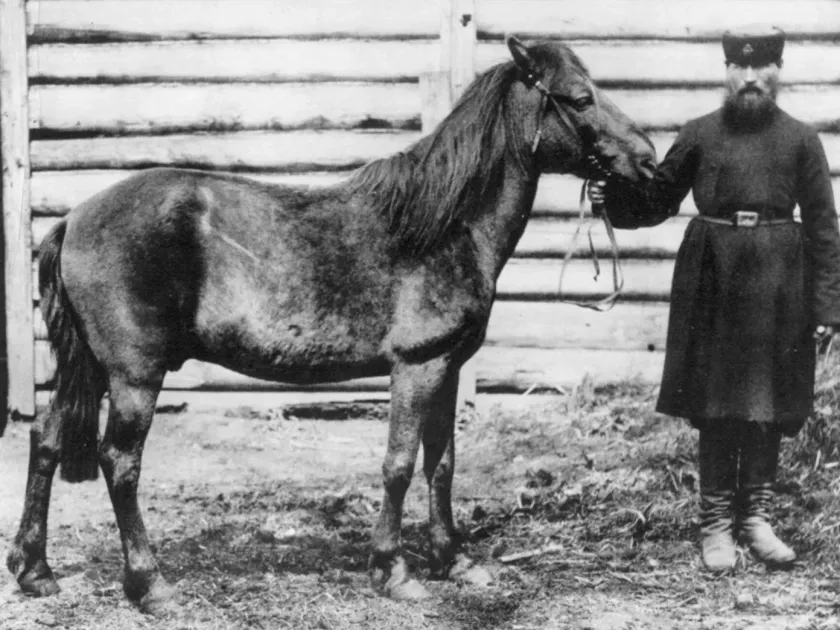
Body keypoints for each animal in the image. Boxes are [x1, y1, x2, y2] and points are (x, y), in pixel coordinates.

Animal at [7, 37, 656, 614]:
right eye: (579, 98)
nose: (648, 159)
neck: (443, 229)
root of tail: (73, 219)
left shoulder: (446, 369)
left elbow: (441, 463)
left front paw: (453, 560)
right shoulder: (417, 367)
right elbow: (399, 465)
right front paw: (394, 571)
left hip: (90, 366)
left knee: (47, 439)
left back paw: (35, 569)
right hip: (134, 376)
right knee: (120, 463)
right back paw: (150, 585)